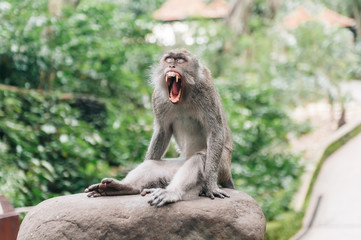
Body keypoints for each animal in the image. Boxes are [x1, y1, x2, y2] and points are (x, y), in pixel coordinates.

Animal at [86, 48, 235, 206]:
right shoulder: (157, 96)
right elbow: (162, 131)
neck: (184, 96)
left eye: (180, 60)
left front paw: (211, 186)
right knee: (152, 165)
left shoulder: (207, 93)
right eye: (169, 59)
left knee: (199, 158)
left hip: (223, 166)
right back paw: (125, 187)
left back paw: (171, 192)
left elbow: (215, 131)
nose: (172, 66)